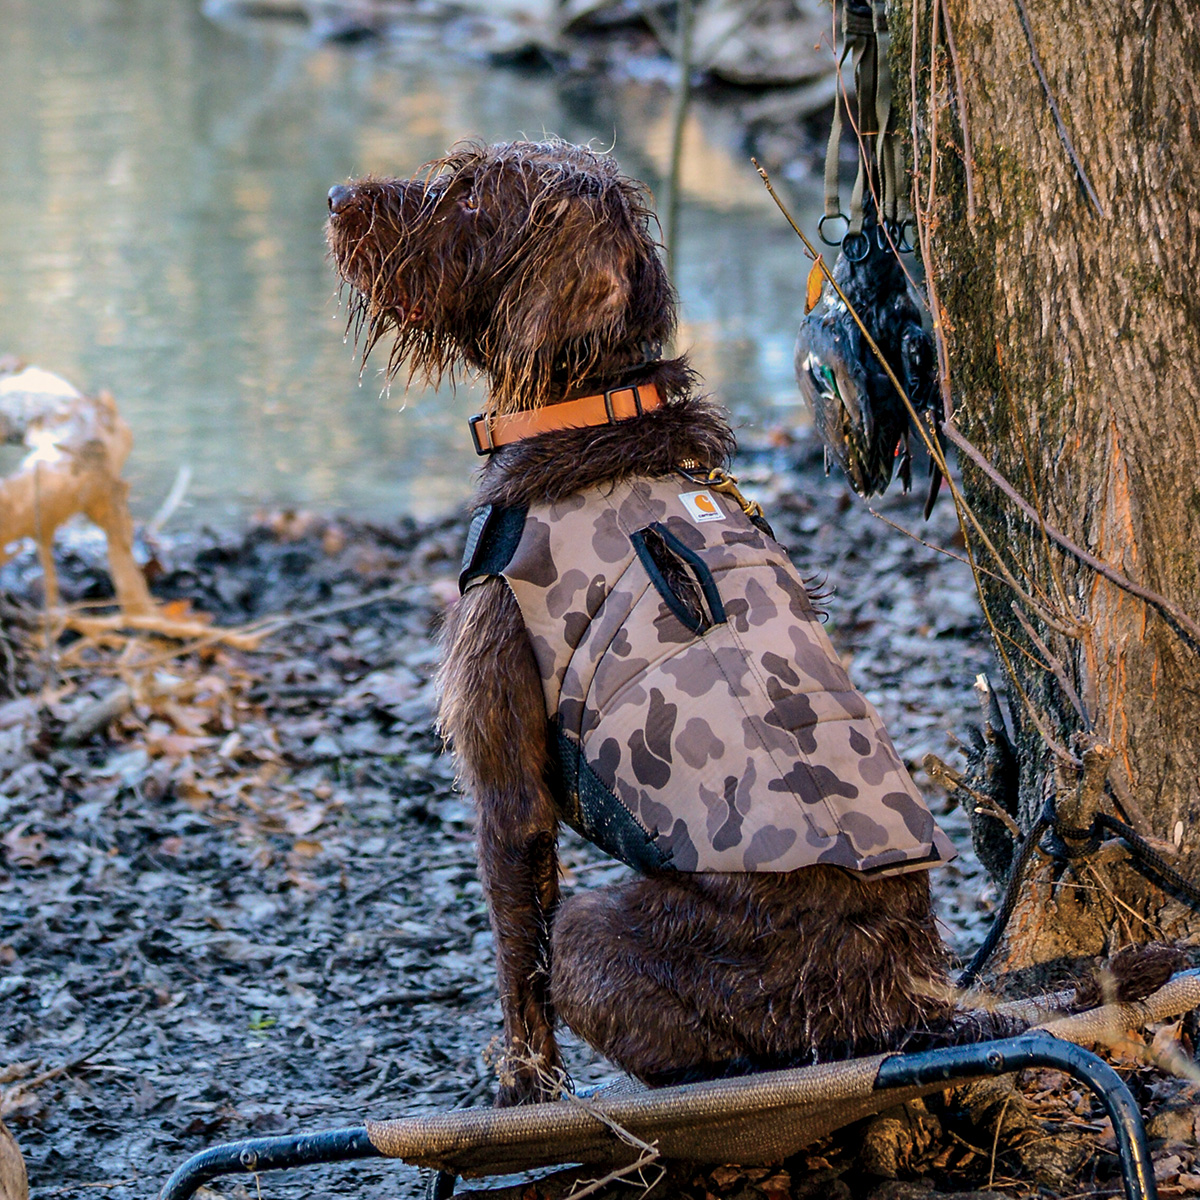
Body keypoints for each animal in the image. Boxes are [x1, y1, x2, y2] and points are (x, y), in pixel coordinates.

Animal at [328, 140, 964, 1104]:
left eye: (470, 192)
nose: (335, 197)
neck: (591, 401)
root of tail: (907, 1011)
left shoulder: (506, 779)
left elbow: (517, 965)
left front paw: (520, 1096)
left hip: (602, 936)